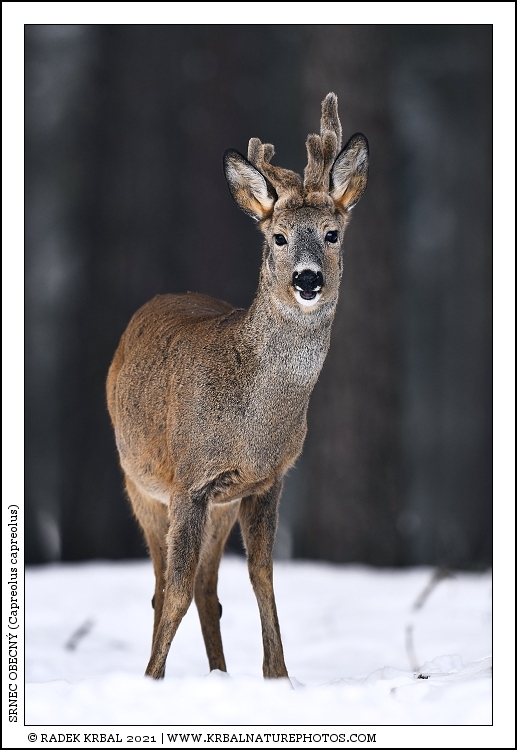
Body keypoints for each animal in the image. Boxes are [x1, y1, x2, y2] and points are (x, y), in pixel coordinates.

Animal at [106, 93, 368, 680]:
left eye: (332, 233)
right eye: (278, 237)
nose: (307, 279)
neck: (254, 425)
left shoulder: (266, 481)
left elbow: (262, 579)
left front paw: (278, 676)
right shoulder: (190, 478)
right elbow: (175, 591)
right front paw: (152, 679)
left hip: (220, 506)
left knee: (208, 588)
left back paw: (220, 674)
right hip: (140, 483)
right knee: (164, 585)